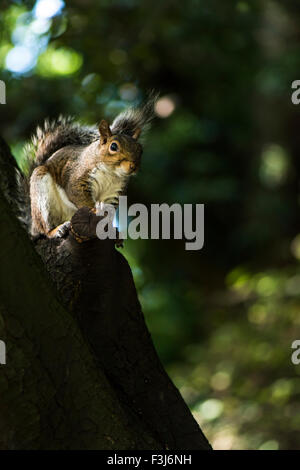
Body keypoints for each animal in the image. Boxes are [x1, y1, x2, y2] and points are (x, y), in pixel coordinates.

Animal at [17, 95, 157, 241]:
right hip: (41, 193)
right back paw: (55, 230)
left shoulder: (113, 193)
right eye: (113, 146)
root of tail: (32, 225)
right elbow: (79, 195)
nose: (133, 166)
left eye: (140, 150)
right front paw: (94, 210)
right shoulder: (78, 176)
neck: (111, 173)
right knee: (44, 228)